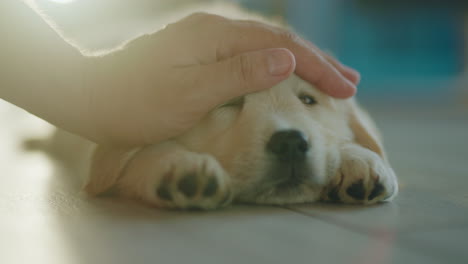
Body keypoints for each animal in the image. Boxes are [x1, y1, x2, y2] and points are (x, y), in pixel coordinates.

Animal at [86, 73, 396, 208]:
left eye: (308, 100)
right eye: (230, 103)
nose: (290, 143)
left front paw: (359, 159)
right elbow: (144, 151)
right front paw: (182, 165)